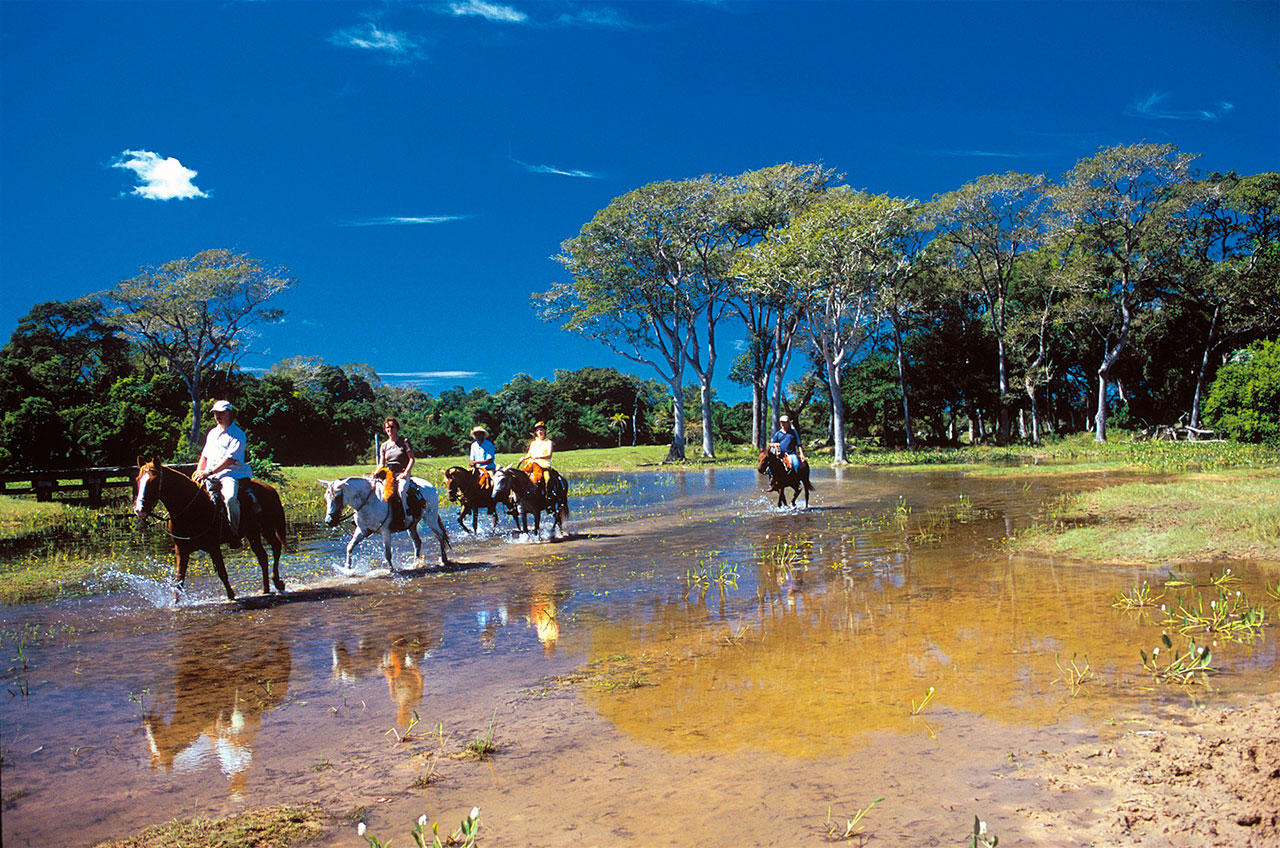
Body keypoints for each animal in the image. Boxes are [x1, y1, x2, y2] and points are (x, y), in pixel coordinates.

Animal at [133, 461, 288, 602]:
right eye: (138, 480)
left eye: (153, 482)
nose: (139, 510)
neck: (191, 507)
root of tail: (270, 489)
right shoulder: (181, 549)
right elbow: (179, 580)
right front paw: (174, 603)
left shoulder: (213, 546)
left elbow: (222, 572)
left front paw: (231, 597)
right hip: (253, 533)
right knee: (263, 556)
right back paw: (266, 589)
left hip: (265, 529)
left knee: (275, 547)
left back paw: (277, 582)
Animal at [320, 479, 450, 571]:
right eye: (326, 497)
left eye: (337, 497)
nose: (329, 521)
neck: (369, 502)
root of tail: (430, 486)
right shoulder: (362, 531)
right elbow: (350, 547)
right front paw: (348, 568)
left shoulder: (385, 531)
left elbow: (387, 553)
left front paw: (391, 570)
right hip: (412, 525)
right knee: (417, 542)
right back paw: (415, 564)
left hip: (430, 518)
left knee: (440, 535)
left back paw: (444, 560)